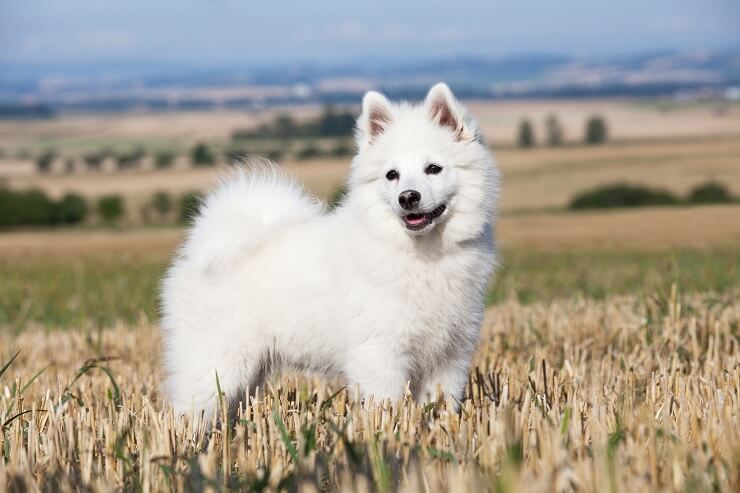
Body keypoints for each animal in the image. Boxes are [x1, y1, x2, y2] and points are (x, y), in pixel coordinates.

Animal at [160, 83, 498, 416]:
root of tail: (199, 251)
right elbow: (384, 407)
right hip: (216, 363)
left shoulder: (449, 357)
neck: (422, 253)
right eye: (392, 175)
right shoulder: (380, 353)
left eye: (433, 168)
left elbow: (440, 408)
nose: (408, 197)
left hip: (248, 372)